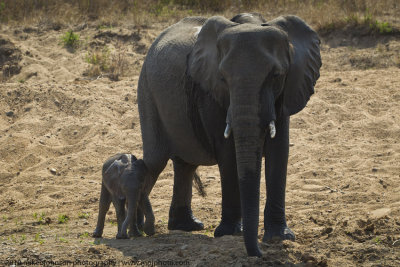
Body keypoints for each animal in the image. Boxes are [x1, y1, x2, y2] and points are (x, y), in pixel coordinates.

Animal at [135, 13, 322, 258]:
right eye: (223, 78)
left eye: (276, 76)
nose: (259, 253)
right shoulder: (211, 93)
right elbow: (228, 153)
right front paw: (230, 233)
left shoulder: (286, 93)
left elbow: (279, 152)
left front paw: (280, 237)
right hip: (146, 89)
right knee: (155, 161)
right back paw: (136, 230)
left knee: (185, 165)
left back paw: (187, 226)